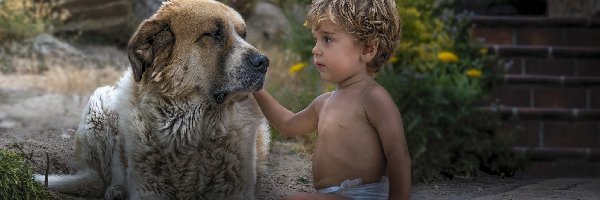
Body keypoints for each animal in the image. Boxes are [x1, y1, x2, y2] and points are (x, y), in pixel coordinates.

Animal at [36, 0, 270, 199]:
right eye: (214, 34)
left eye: (243, 34)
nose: (264, 62)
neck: (190, 132)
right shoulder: (147, 190)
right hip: (100, 103)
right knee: (95, 180)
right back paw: (115, 190)